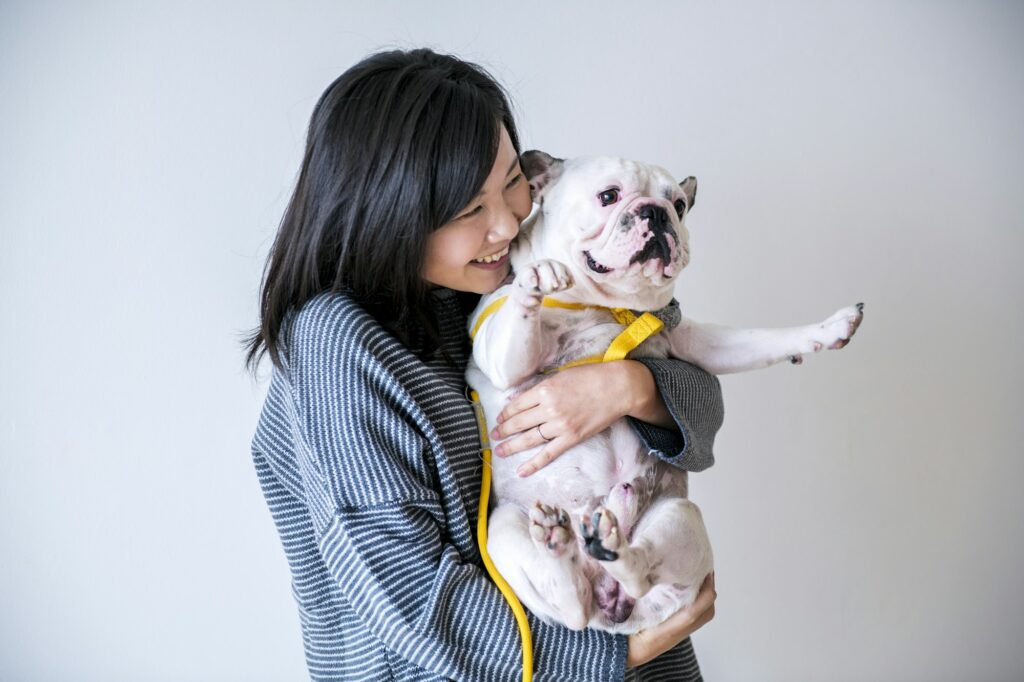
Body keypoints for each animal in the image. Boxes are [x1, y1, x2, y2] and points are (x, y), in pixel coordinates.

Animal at [466, 150, 864, 630]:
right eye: (609, 196)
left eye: (679, 205)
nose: (657, 213)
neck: (605, 305)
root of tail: (609, 608)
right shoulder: (502, 354)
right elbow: (518, 325)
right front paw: (536, 276)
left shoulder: (695, 342)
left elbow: (758, 340)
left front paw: (825, 330)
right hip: (502, 528)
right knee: (571, 604)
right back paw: (561, 542)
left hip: (679, 518)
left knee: (637, 568)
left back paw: (609, 537)